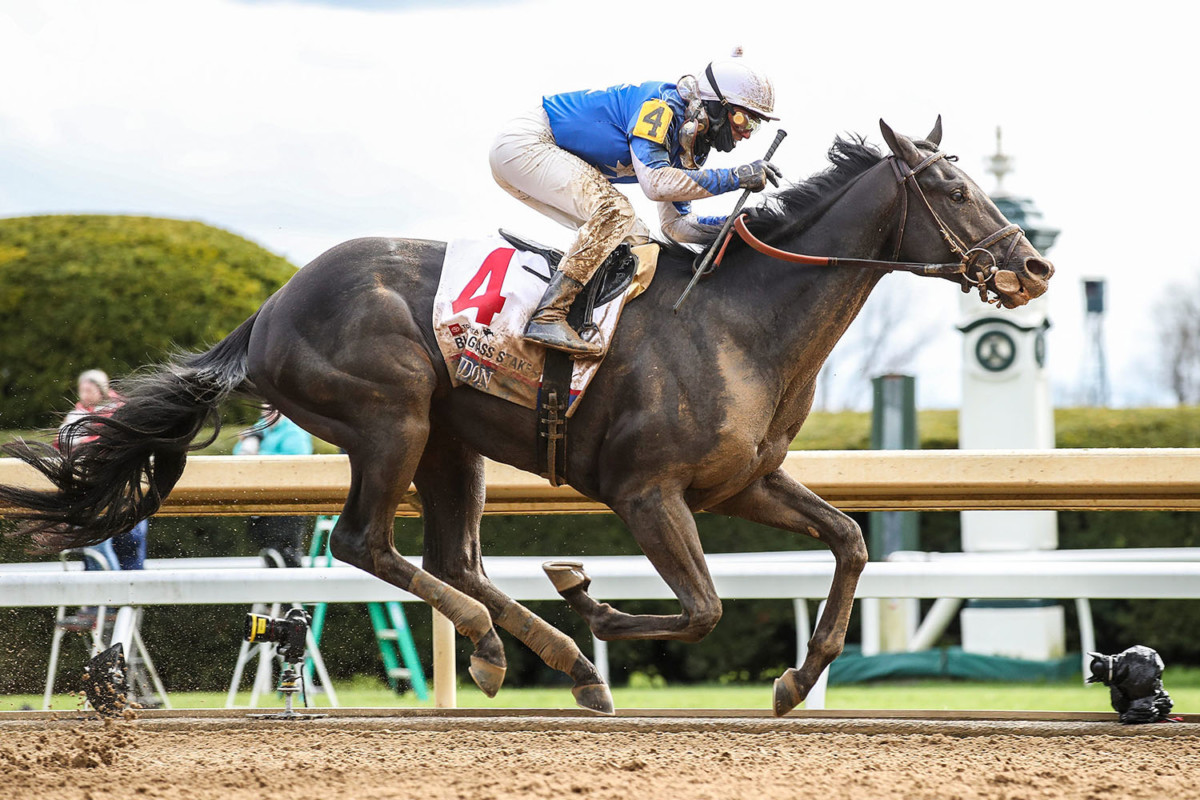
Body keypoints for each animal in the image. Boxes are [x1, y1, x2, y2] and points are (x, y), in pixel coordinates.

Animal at [0, 117, 1051, 714]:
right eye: (951, 187)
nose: (1033, 264)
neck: (740, 321)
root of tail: (268, 309)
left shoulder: (745, 482)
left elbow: (849, 542)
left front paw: (798, 679)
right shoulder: (645, 492)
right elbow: (703, 608)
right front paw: (590, 597)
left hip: (450, 443)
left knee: (450, 555)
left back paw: (543, 657)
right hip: (392, 420)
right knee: (366, 542)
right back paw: (518, 647)